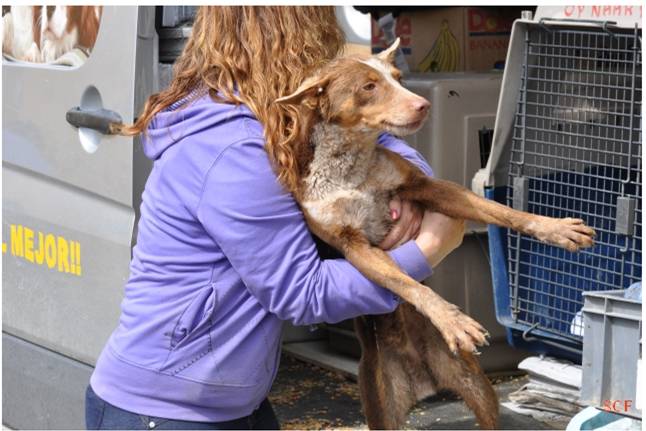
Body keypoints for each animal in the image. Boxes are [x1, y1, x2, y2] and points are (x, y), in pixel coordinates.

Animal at [276, 39, 596, 428]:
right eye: (368, 86)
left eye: (398, 77)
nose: (422, 104)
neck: (349, 163)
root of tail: (424, 382)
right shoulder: (353, 245)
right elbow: (406, 283)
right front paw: (451, 320)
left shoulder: (426, 186)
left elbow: (500, 211)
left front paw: (555, 229)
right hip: (381, 406)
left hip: (477, 387)